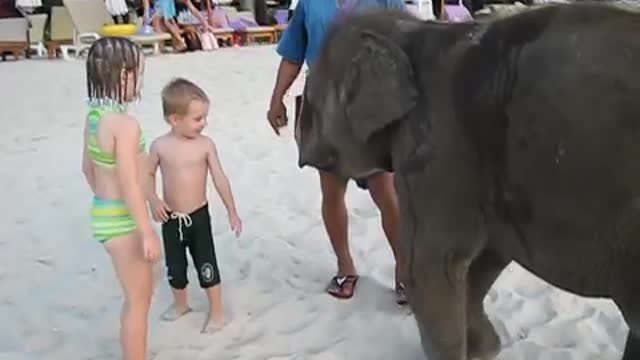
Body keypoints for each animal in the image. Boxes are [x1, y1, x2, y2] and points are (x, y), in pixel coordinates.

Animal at [298, 2, 640, 360]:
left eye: (310, 100)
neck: (414, 31)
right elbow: (484, 258)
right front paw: (485, 348)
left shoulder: (434, 148)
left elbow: (430, 269)